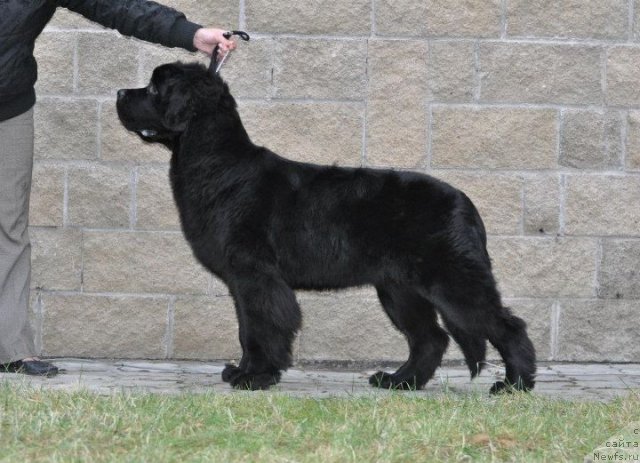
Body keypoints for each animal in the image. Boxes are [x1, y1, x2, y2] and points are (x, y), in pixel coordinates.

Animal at [115, 61, 536, 394]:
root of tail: (465, 203)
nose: (119, 92)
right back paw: (399, 381)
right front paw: (245, 372)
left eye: (154, 89)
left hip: (452, 280)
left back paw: (513, 385)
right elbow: (247, 328)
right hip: (399, 289)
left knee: (506, 325)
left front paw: (256, 378)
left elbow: (262, 328)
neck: (217, 164)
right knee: (430, 338)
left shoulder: (256, 275)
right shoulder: (243, 282)